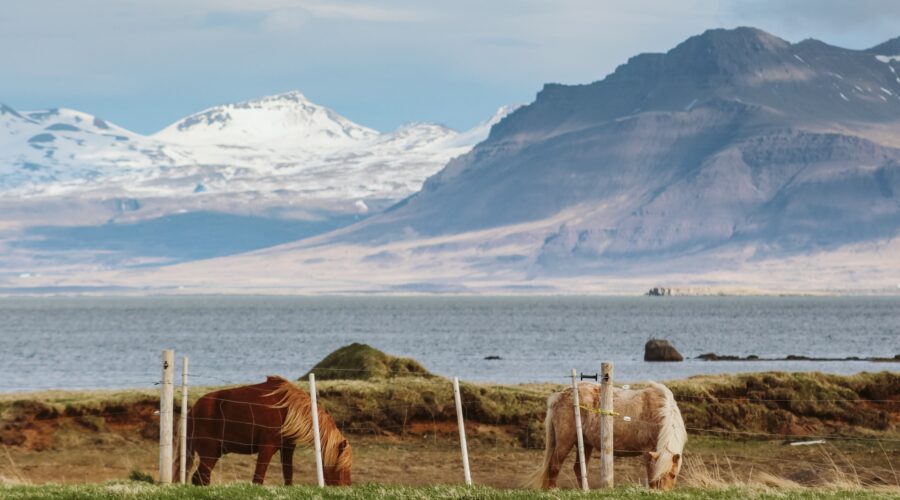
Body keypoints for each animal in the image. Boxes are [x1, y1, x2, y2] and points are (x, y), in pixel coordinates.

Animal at [175, 375, 352, 486]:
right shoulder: (267, 449)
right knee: (200, 478)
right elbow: (258, 480)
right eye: (342, 466)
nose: (346, 487)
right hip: (209, 453)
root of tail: (191, 411)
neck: (287, 410)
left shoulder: (287, 450)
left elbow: (288, 477)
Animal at [529, 381, 686, 490]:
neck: (659, 412)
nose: (664, 493)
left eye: (673, 475)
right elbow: (651, 474)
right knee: (555, 465)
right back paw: (552, 490)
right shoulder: (647, 451)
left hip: (585, 444)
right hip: (565, 441)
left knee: (578, 468)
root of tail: (561, 395)